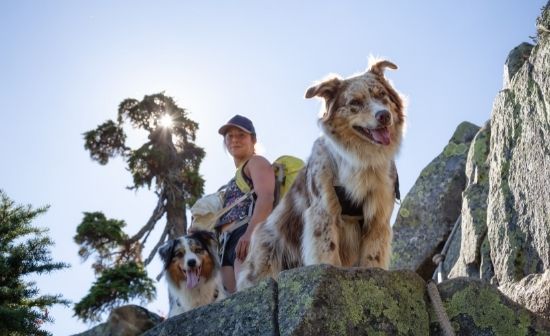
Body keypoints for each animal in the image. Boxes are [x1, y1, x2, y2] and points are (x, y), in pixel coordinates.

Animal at [237, 59, 406, 288]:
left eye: (382, 95)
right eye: (355, 102)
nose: (384, 115)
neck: (362, 159)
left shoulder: (378, 214)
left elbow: (373, 255)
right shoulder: (323, 210)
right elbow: (327, 250)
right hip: (268, 252)